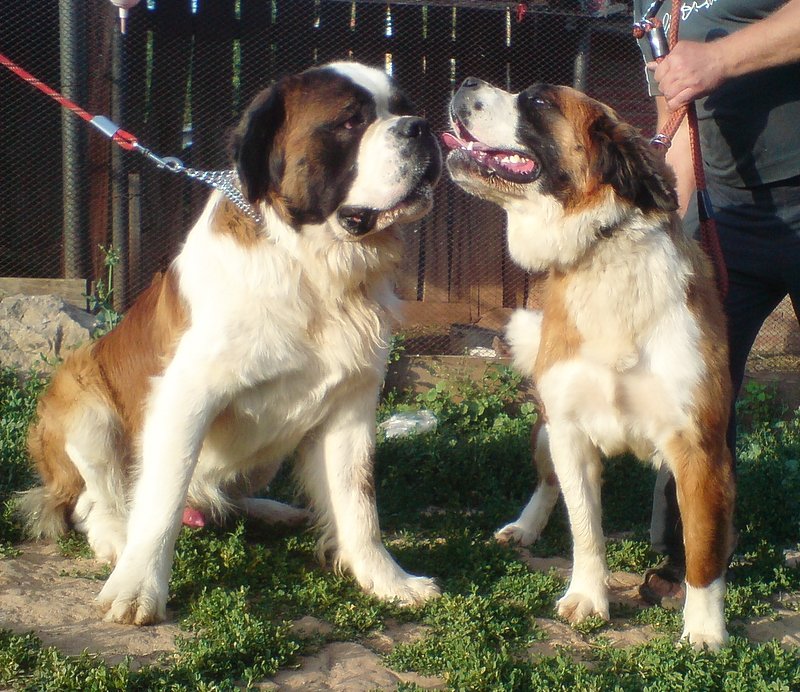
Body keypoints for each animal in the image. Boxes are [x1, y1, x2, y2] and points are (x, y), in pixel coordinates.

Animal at [19, 61, 442, 625]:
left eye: (403, 107)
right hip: (82, 400)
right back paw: (115, 538)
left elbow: (358, 500)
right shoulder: (183, 397)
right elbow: (161, 502)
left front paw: (387, 580)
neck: (310, 266)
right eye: (351, 121)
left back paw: (273, 510)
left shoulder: (351, 403)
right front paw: (137, 588)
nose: (420, 127)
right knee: (95, 501)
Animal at [443, 78, 735, 649]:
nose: (466, 82)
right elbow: (585, 528)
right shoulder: (570, 433)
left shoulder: (699, 450)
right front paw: (587, 596)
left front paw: (704, 628)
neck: (602, 253)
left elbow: (702, 549)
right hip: (544, 431)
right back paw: (526, 526)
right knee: (547, 484)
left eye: (538, 101)